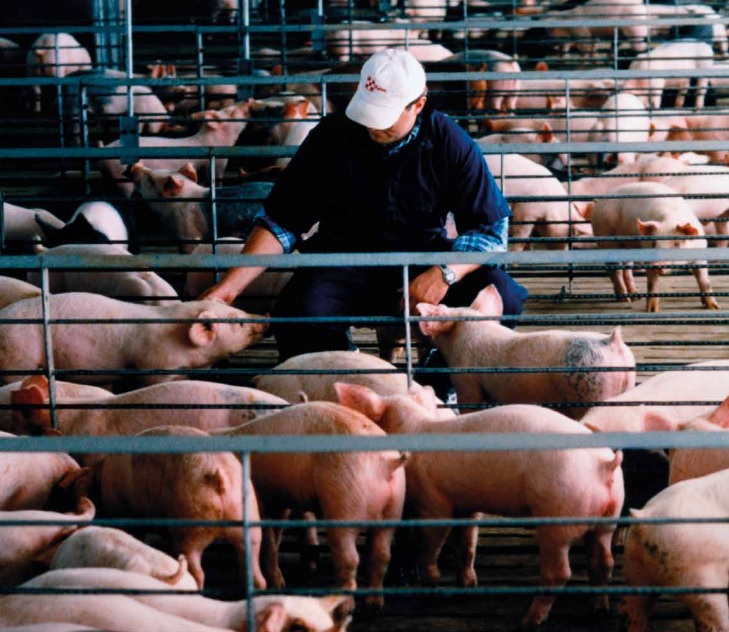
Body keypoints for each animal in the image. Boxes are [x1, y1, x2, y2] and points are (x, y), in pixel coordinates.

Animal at [80, 425, 265, 590]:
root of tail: (218, 475)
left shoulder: (123, 511)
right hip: (249, 518)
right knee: (253, 569)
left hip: (191, 524)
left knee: (197, 569)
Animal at [217, 401, 408, 609]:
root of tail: (386, 463)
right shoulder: (280, 502)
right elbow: (275, 536)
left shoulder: (260, 498)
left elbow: (267, 541)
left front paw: (276, 584)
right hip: (393, 509)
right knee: (381, 555)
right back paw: (374, 603)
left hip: (344, 502)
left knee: (350, 558)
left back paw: (344, 603)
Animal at [335, 382, 625, 630]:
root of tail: (603, 464)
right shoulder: (467, 505)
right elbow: (466, 545)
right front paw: (468, 586)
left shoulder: (432, 501)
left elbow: (430, 545)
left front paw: (436, 589)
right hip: (609, 516)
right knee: (603, 560)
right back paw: (599, 610)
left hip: (557, 516)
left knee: (560, 572)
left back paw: (528, 621)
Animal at [585, 181, 719, 312]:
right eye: (654, 244)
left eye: (676, 244)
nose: (657, 264)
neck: (670, 220)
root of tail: (599, 201)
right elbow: (652, 283)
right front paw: (652, 310)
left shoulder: (700, 255)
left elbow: (704, 281)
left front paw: (713, 307)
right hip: (605, 238)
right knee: (615, 271)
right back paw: (624, 299)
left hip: (627, 247)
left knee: (626, 270)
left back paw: (635, 296)